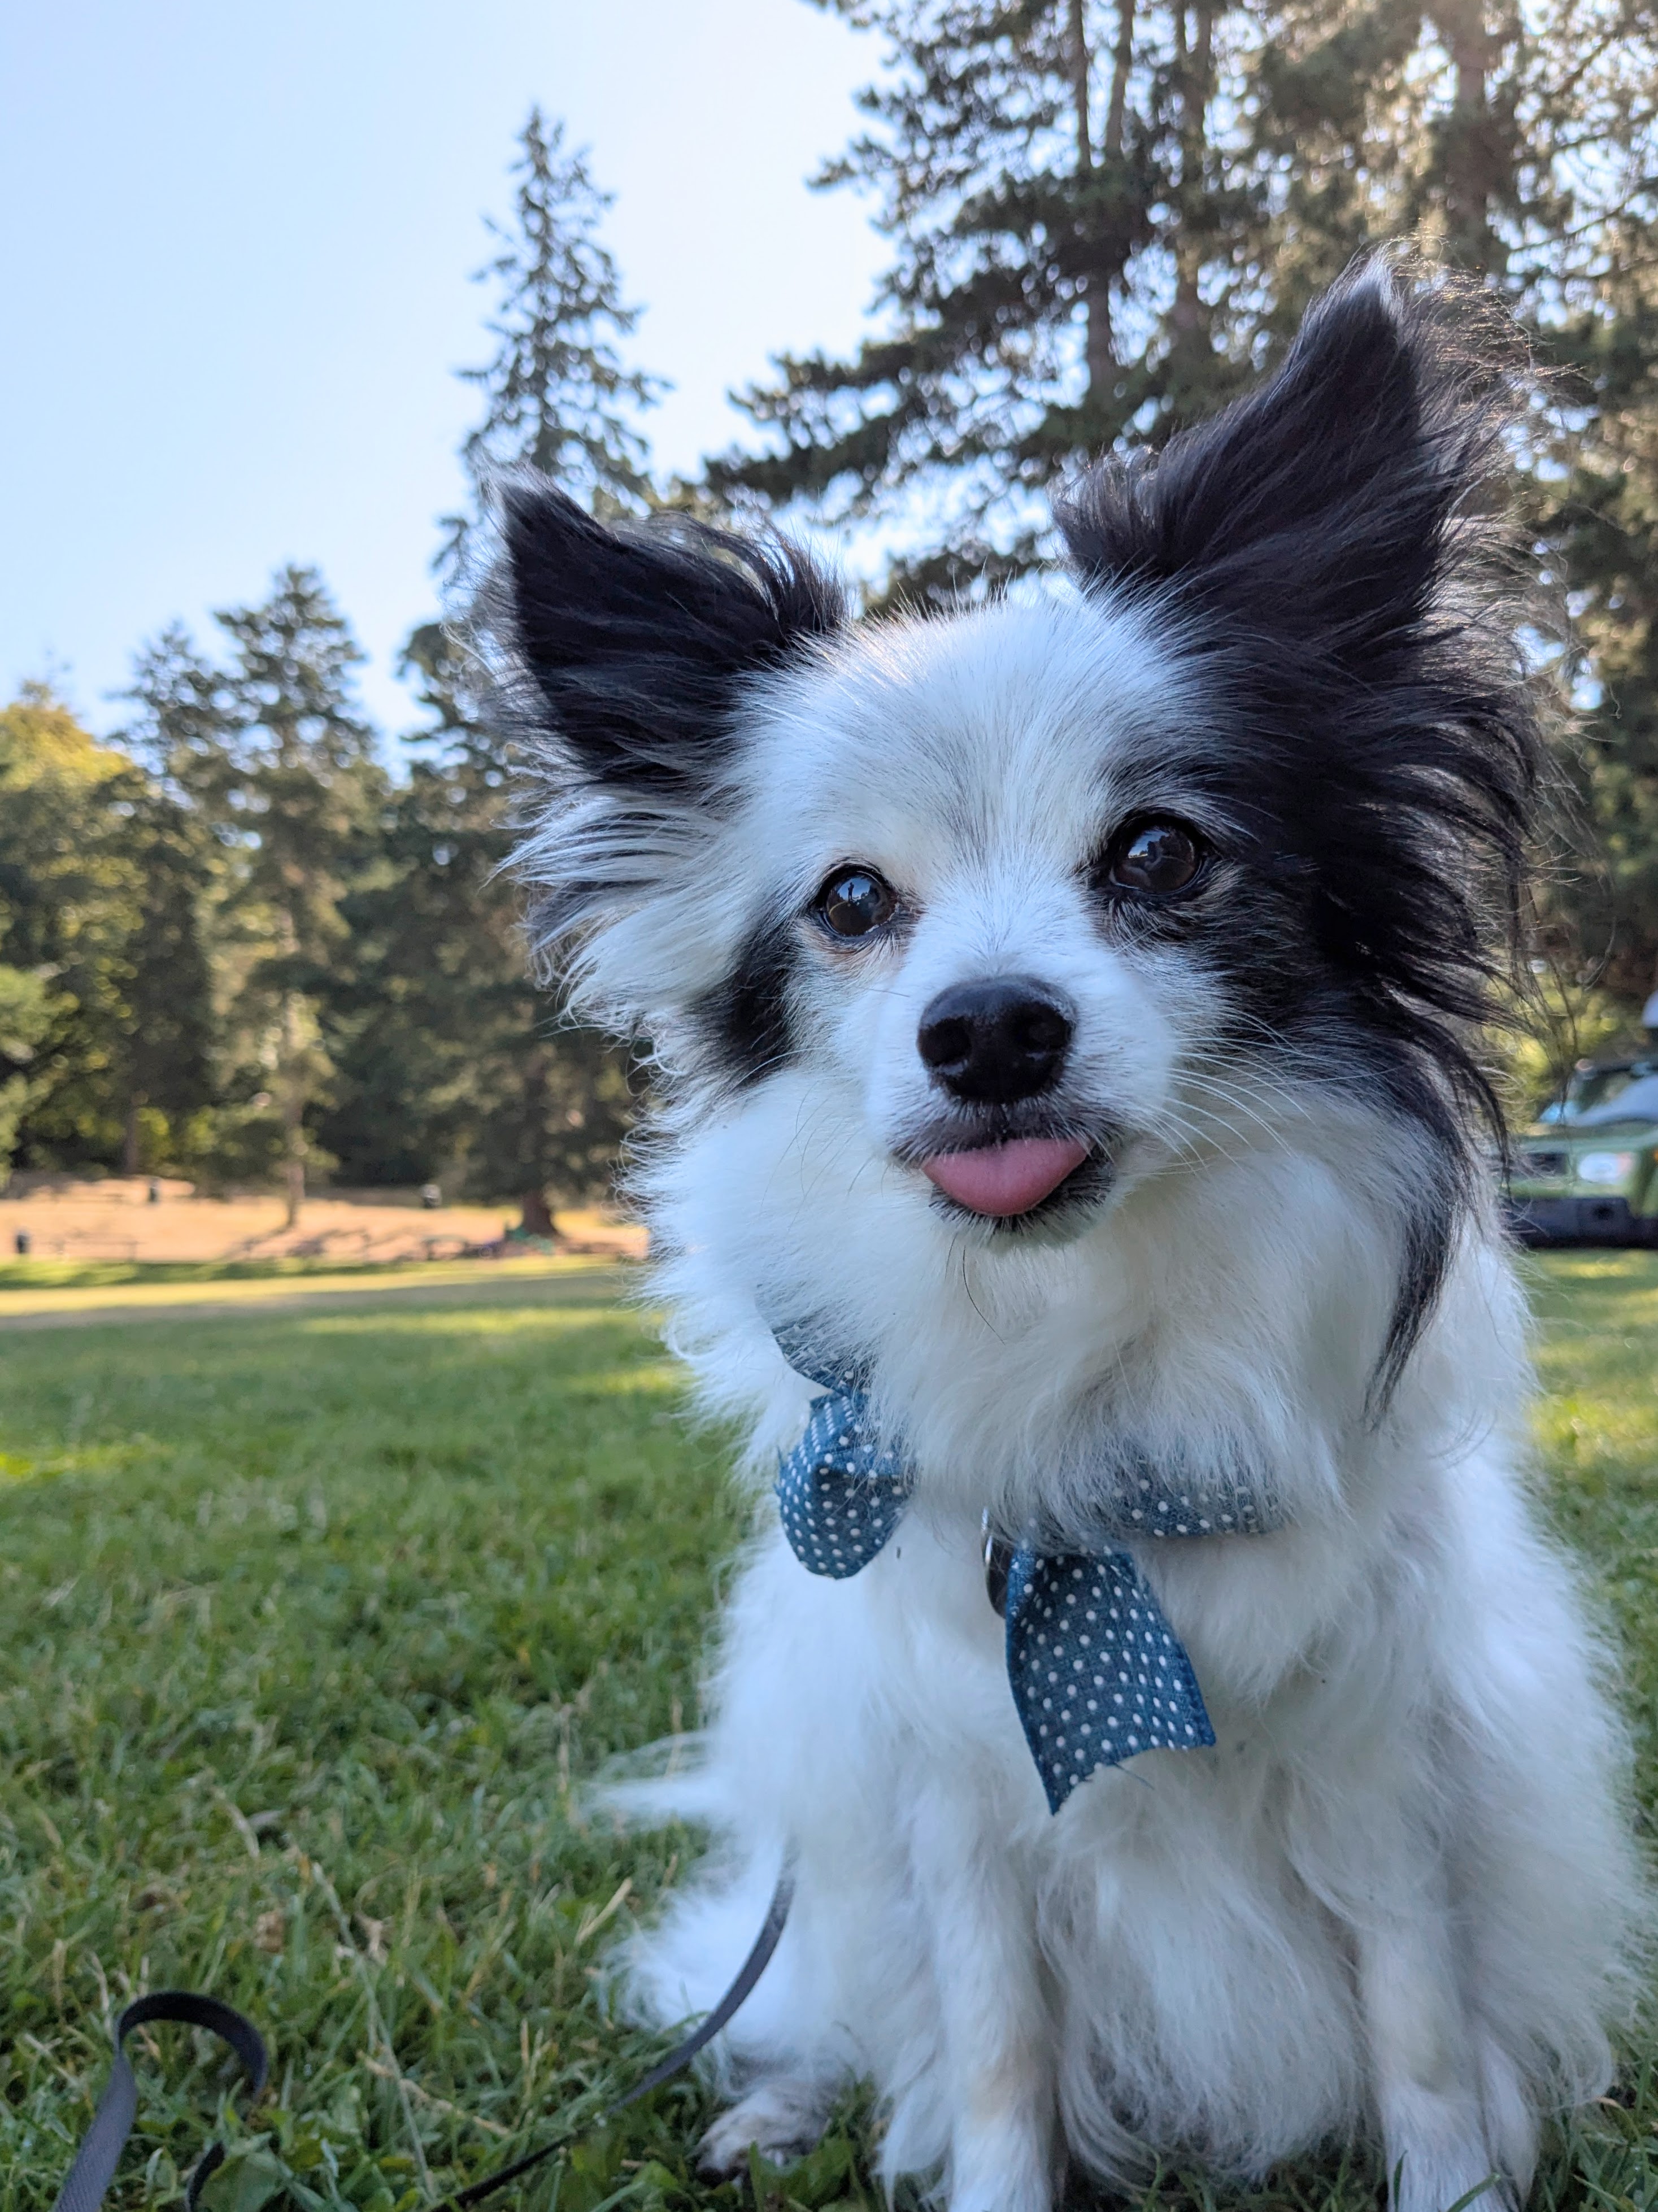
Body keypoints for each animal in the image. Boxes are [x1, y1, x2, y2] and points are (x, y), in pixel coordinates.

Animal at [477, 258, 1647, 2212]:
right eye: (850, 903)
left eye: (1159, 856)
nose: (989, 1031)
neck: (1090, 1343)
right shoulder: (960, 1811)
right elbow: (994, 2054)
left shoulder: (1385, 1779)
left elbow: (1417, 2032)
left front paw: (1454, 2185)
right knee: (826, 1995)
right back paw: (779, 2104)